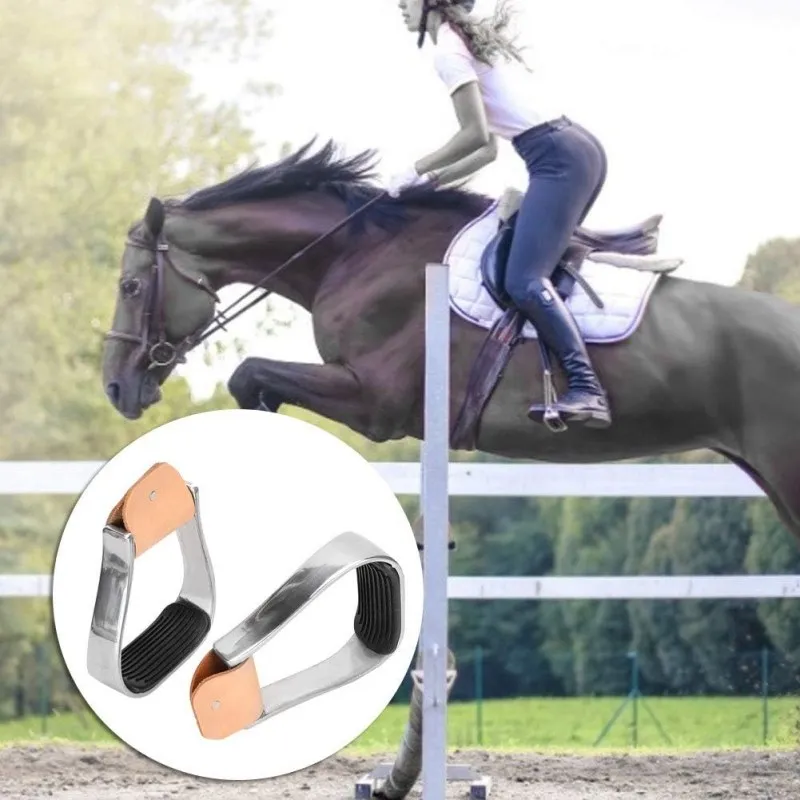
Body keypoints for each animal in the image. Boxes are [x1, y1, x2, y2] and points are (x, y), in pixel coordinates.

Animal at [103, 138, 800, 797]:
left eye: (131, 287)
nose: (117, 387)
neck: (352, 255)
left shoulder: (372, 401)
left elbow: (249, 375)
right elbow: (253, 382)